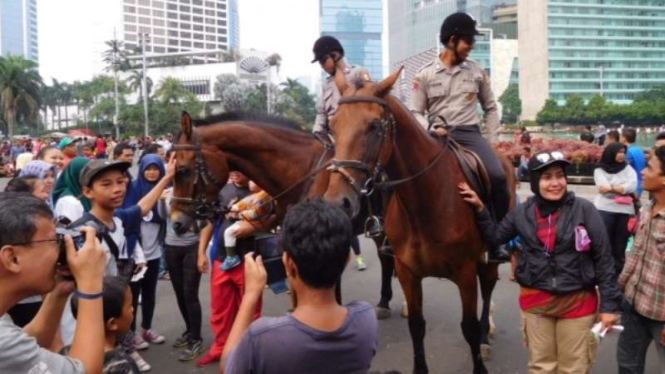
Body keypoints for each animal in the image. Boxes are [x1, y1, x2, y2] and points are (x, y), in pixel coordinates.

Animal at [320, 69, 516, 374]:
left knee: (488, 287)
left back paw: (486, 335)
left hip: (488, 258)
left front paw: (479, 353)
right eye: (333, 126)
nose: (337, 202)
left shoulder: (465, 272)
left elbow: (469, 327)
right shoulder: (407, 272)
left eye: (374, 126)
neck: (425, 201)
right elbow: (416, 325)